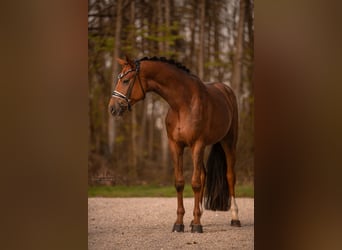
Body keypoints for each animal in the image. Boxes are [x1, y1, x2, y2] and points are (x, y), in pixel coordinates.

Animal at [107, 56, 240, 232]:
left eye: (126, 80)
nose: (112, 108)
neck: (183, 104)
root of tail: (226, 90)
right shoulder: (176, 146)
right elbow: (180, 183)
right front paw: (180, 223)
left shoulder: (197, 144)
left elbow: (195, 184)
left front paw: (197, 226)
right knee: (204, 174)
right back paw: (196, 217)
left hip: (228, 142)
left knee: (230, 176)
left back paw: (234, 218)